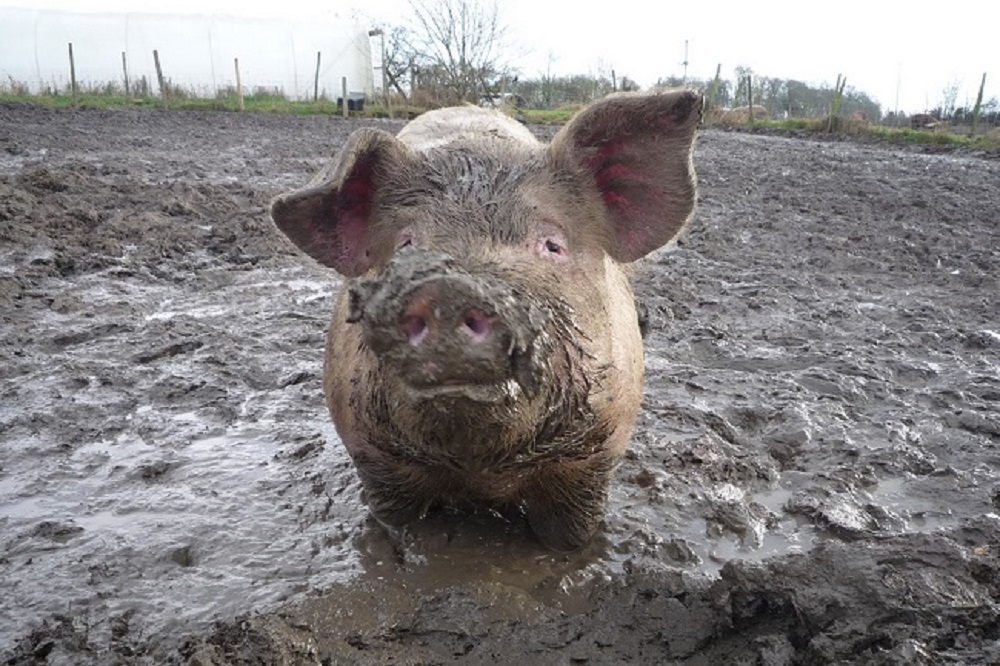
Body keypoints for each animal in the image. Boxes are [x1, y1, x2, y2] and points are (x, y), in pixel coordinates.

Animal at [270, 92, 700, 548]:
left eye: (551, 244)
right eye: (406, 243)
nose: (449, 289)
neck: (482, 472)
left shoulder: (594, 460)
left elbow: (571, 537)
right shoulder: (373, 459)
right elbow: (394, 518)